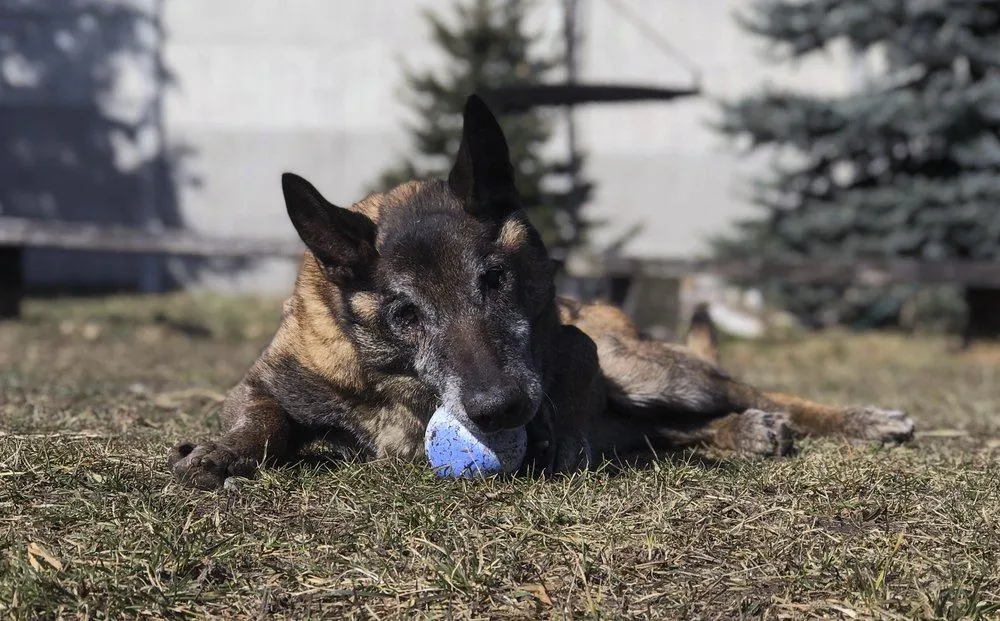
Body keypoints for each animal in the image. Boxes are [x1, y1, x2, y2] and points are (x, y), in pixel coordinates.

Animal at [168, 94, 916, 490]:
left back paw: (855, 420)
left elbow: (574, 396)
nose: (499, 408)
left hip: (649, 370)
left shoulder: (575, 350)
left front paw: (562, 440)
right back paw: (741, 433)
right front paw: (220, 452)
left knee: (749, 392)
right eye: (405, 313)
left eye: (495, 281)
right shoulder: (266, 381)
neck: (397, 381)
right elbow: (264, 422)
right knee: (669, 431)